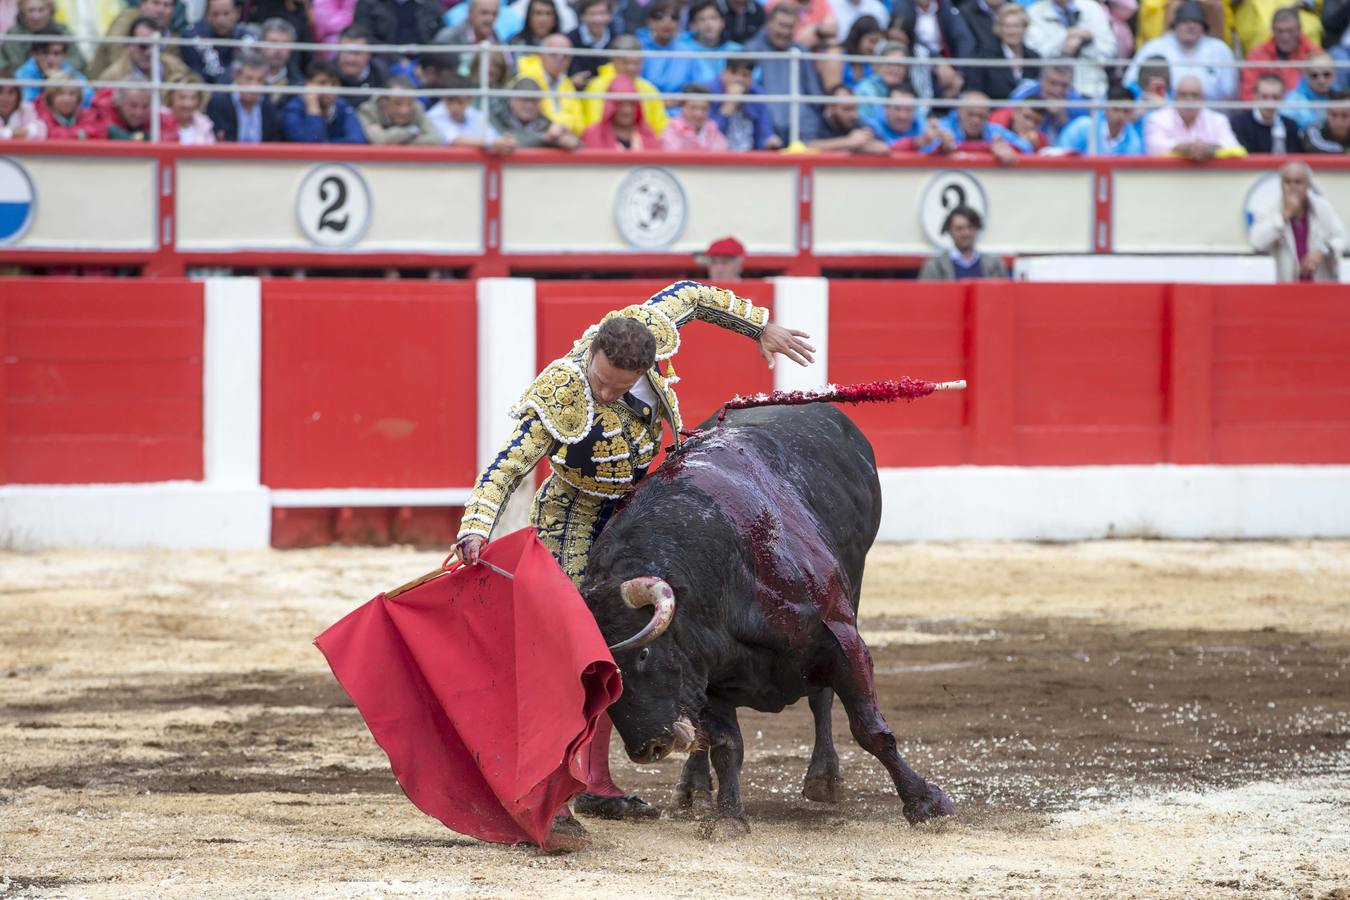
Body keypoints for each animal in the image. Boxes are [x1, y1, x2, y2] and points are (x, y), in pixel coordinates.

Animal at [575, 404, 955, 836]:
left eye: (643, 655)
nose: (646, 748)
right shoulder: (710, 674)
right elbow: (726, 746)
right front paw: (728, 817)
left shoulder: (841, 639)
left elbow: (871, 730)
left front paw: (927, 803)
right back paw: (693, 787)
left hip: (854, 586)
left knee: (821, 699)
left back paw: (824, 777)